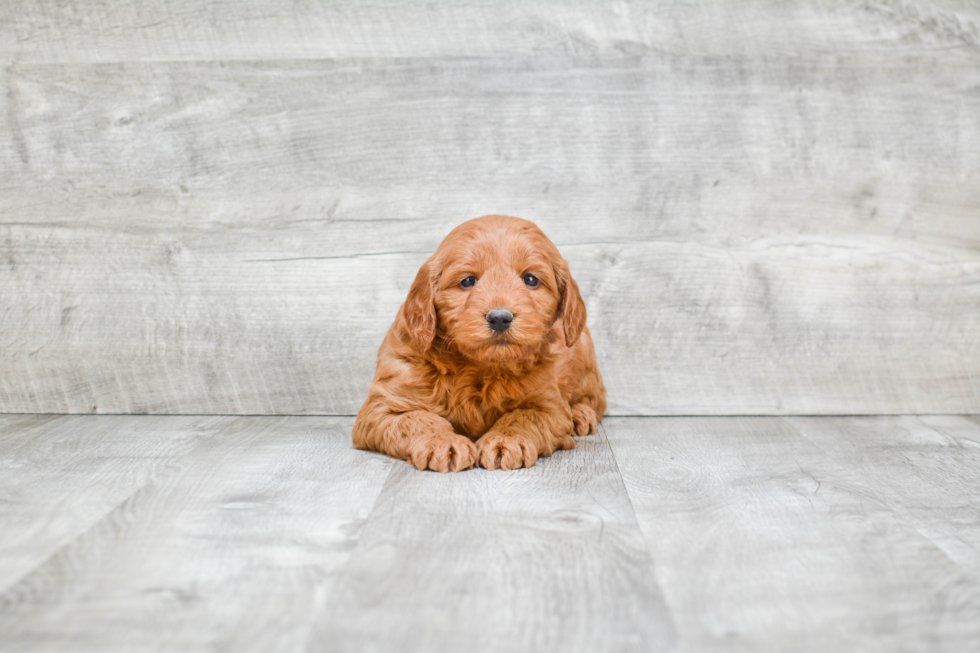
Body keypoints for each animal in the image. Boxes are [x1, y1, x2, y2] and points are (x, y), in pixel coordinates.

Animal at [352, 216, 604, 472]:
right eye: (468, 281)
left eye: (531, 279)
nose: (500, 318)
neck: (480, 367)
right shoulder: (383, 406)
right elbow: (418, 419)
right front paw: (444, 442)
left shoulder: (549, 405)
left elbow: (524, 416)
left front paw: (505, 440)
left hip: (583, 356)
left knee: (594, 398)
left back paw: (581, 415)